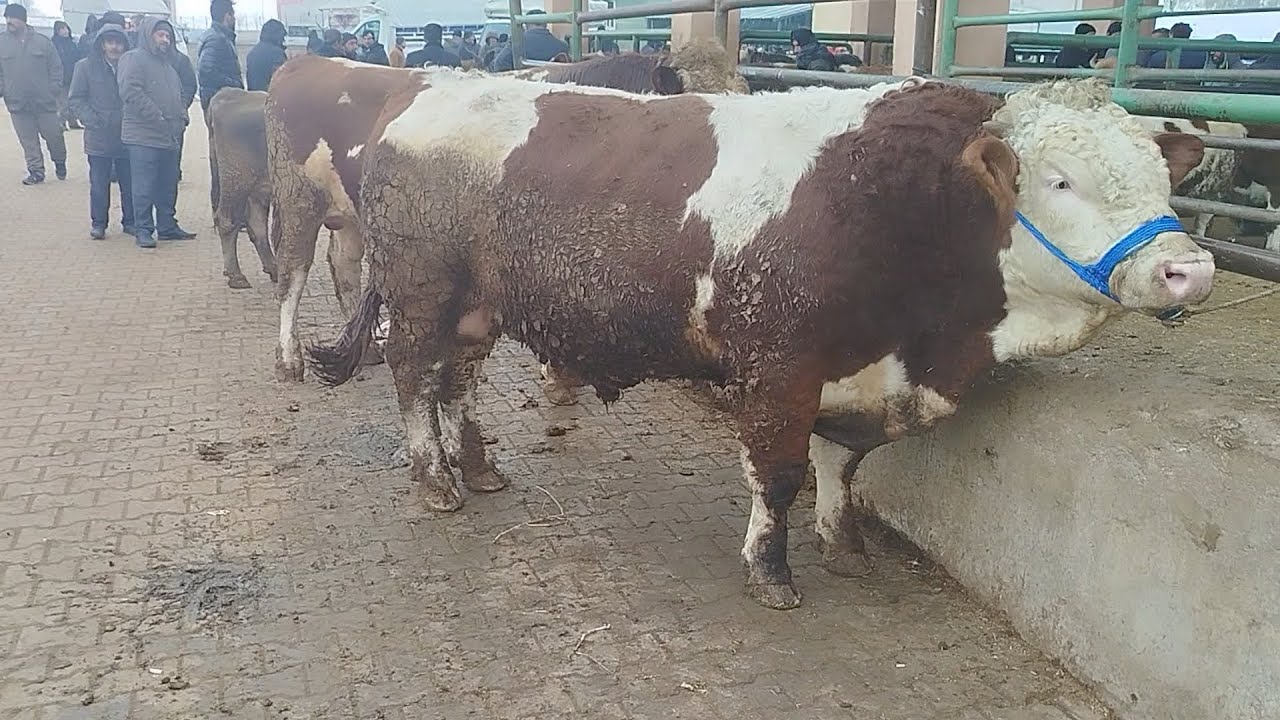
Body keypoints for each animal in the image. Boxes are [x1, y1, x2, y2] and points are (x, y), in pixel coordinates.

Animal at [208, 87, 278, 289]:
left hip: (258, 188)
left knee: (257, 225)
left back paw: (274, 269)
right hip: (236, 181)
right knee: (226, 221)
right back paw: (236, 275)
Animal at [270, 44, 749, 383]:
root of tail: (304, 62)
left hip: (348, 213)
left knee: (343, 264)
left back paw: (367, 346)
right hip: (297, 198)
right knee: (293, 272)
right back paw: (289, 359)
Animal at [305, 73, 1213, 610]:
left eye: (1165, 179)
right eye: (1060, 180)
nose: (1189, 269)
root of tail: (429, 87)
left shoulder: (861, 371)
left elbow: (842, 464)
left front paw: (844, 547)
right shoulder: (781, 367)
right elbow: (777, 474)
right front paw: (772, 571)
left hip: (477, 308)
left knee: (456, 380)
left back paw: (480, 467)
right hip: (422, 294)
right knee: (412, 377)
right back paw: (435, 480)